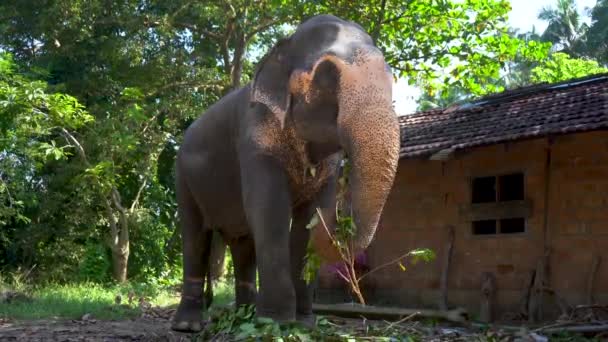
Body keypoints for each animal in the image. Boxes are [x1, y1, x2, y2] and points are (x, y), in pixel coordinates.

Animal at [171, 13, 402, 332]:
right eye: (327, 74)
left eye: (391, 78)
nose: (338, 216)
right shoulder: (254, 138)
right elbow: (270, 210)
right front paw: (275, 323)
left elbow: (305, 218)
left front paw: (303, 324)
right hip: (183, 176)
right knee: (195, 236)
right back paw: (189, 325)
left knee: (243, 245)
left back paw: (243, 317)